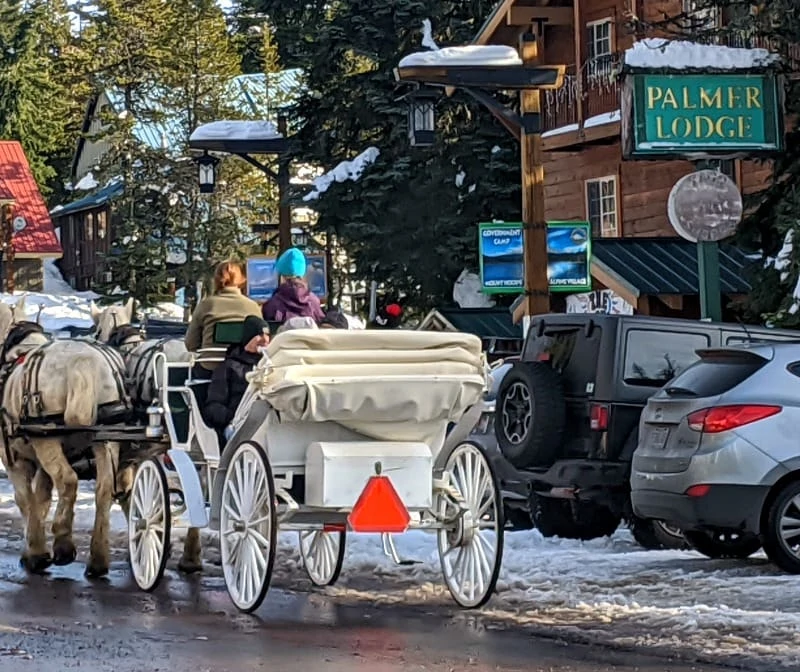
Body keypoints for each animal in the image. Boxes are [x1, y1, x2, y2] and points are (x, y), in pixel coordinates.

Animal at [0, 302, 134, 576]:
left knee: (68, 480)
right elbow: (41, 499)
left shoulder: (13, 460)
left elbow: (25, 500)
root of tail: (83, 364)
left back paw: (63, 545)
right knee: (104, 489)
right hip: (106, 438)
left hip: (47, 441)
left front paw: (35, 552)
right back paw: (98, 559)